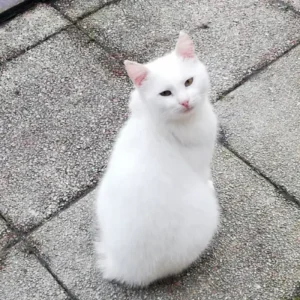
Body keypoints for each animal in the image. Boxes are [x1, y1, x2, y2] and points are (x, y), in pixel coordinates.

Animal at [95, 31, 219, 288]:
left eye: (189, 82)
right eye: (165, 94)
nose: (184, 102)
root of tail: (122, 269)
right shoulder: (201, 163)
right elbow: (206, 178)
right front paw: (211, 185)